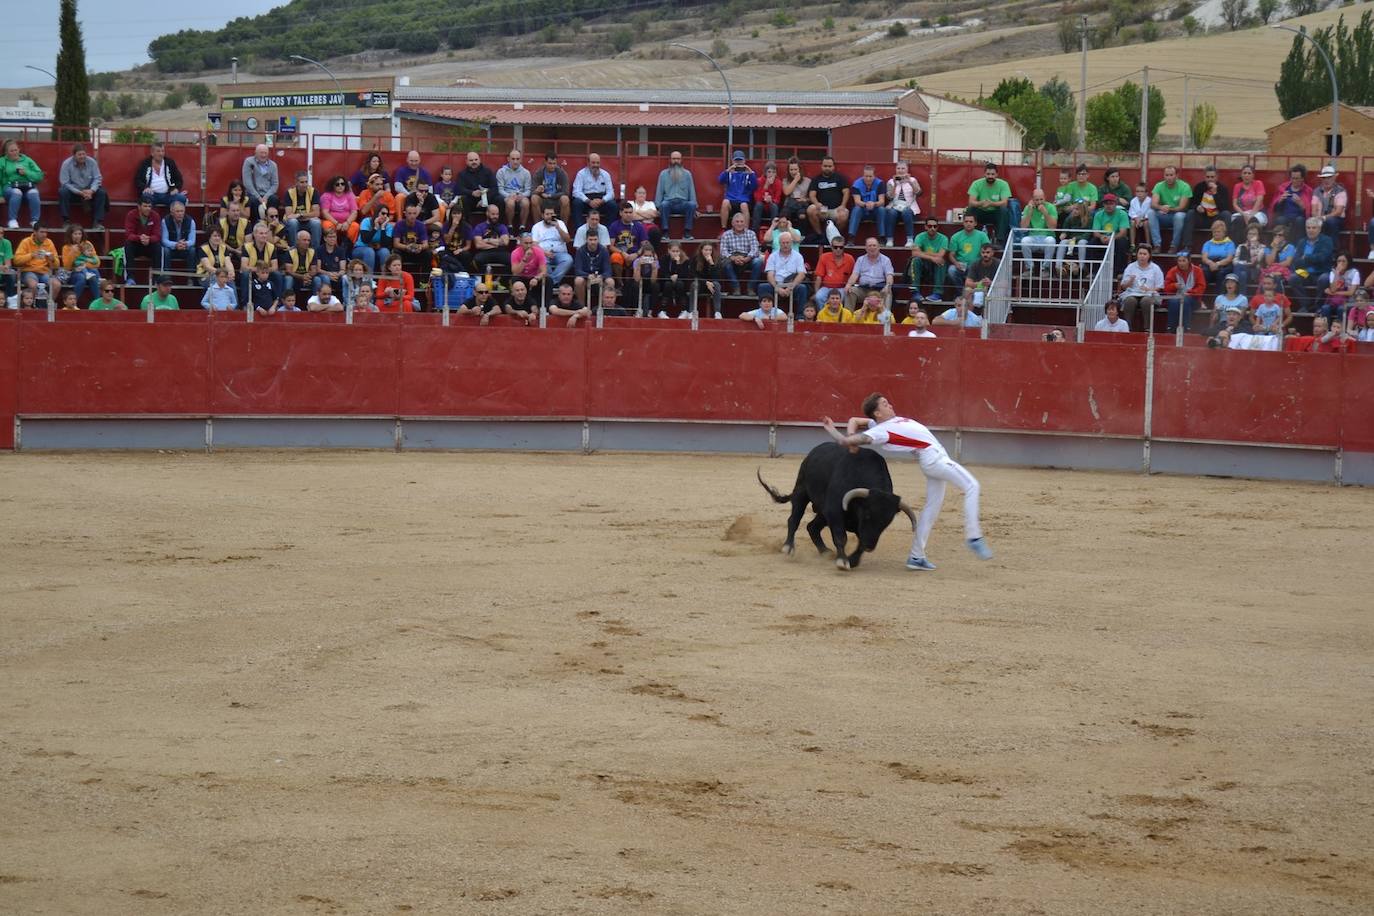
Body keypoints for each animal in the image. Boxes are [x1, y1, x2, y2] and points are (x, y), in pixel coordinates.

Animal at [758, 442, 917, 568]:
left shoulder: (854, 525)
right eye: (867, 515)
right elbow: (841, 536)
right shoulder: (834, 511)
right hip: (801, 492)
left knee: (812, 527)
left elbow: (859, 544)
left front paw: (852, 560)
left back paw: (825, 552)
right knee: (794, 520)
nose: (870, 546)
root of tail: (813, 453)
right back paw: (788, 547)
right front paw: (842, 561)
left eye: (887, 522)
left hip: (822, 513)